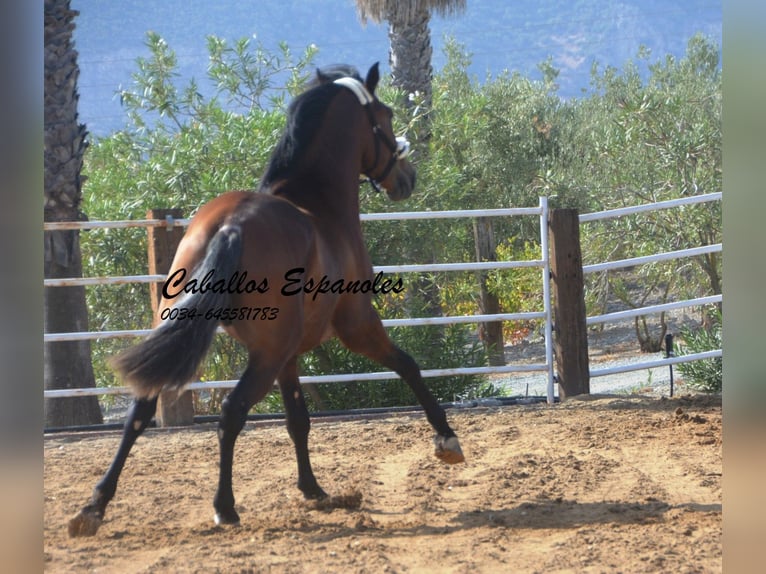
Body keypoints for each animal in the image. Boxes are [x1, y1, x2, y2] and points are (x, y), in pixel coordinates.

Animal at [69, 64, 464, 540]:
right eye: (385, 116)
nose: (407, 178)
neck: (319, 210)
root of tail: (231, 225)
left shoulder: (290, 355)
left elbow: (298, 418)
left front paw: (312, 488)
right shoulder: (356, 325)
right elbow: (408, 365)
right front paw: (447, 439)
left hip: (206, 338)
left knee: (141, 412)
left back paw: (94, 506)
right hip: (267, 354)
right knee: (230, 412)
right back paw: (224, 507)